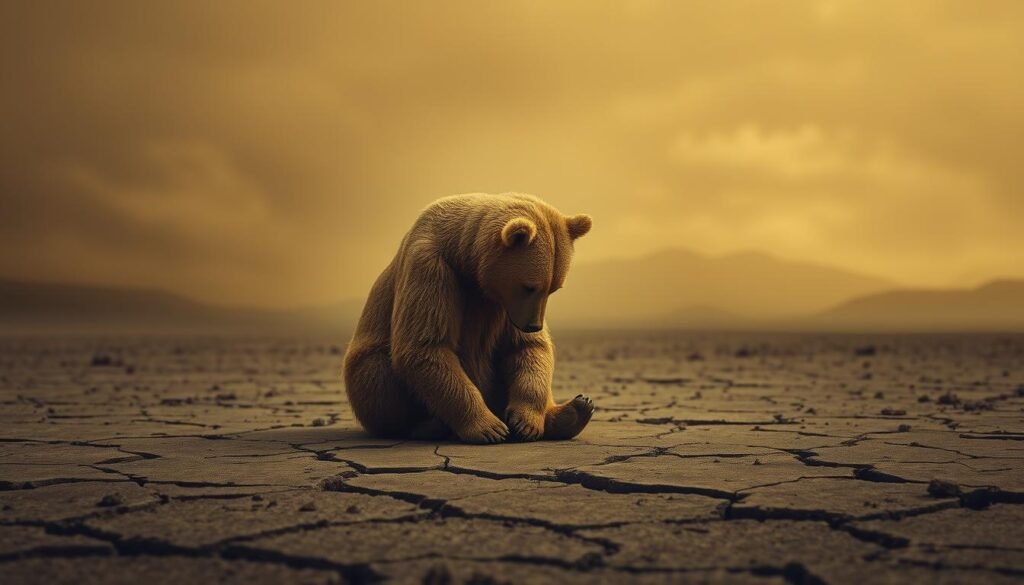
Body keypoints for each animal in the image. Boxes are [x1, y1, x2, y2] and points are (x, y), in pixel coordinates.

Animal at [343, 193, 595, 444]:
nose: (533, 325)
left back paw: (576, 410)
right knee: (377, 372)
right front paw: (490, 428)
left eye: (553, 288)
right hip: (365, 370)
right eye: (529, 287)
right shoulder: (431, 270)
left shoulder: (500, 306)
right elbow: (427, 346)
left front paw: (525, 422)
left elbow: (526, 348)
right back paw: (426, 426)